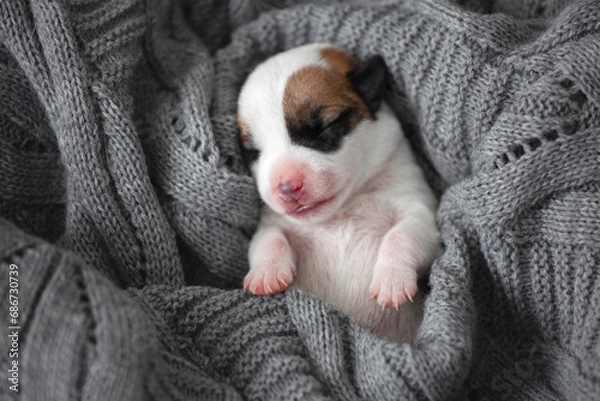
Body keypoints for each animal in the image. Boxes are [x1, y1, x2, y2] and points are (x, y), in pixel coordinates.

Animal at [238, 44, 440, 344]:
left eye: (324, 127)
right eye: (253, 152)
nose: (286, 188)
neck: (343, 208)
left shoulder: (418, 210)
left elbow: (402, 235)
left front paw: (392, 279)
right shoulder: (272, 222)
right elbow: (266, 239)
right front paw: (266, 274)